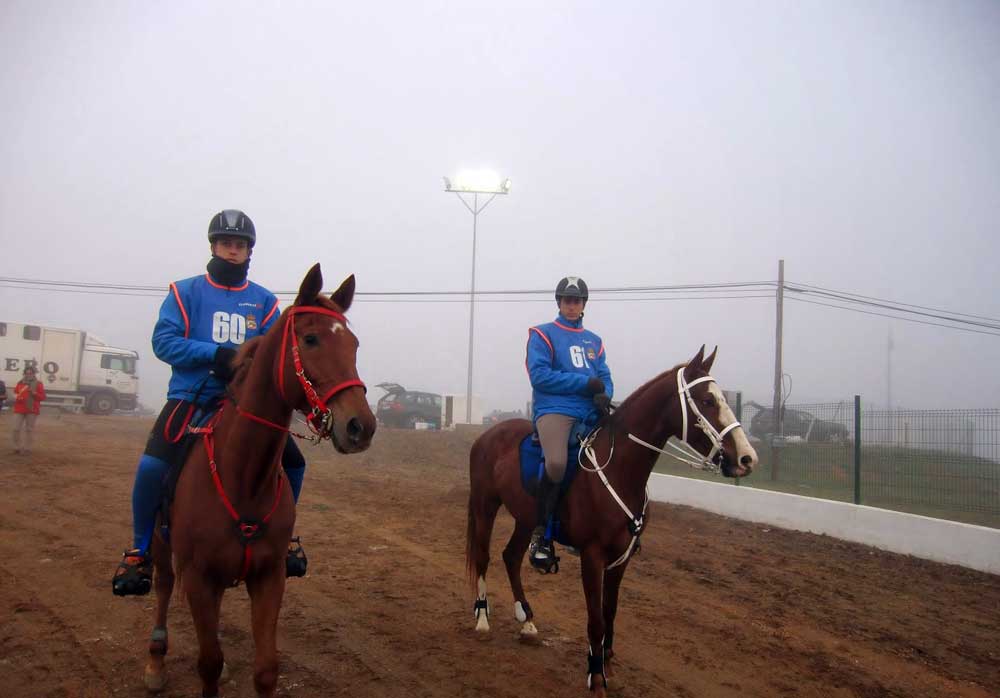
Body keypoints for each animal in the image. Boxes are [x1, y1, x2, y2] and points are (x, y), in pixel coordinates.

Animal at [141, 262, 376, 696]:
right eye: (311, 338)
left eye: (353, 344)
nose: (360, 426)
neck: (242, 475)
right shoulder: (198, 578)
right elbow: (209, 663)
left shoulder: (269, 576)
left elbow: (266, 669)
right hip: (163, 544)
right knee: (163, 586)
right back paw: (155, 661)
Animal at [466, 346, 756, 692]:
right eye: (708, 401)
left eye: (722, 398)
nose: (747, 458)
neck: (619, 466)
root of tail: (488, 434)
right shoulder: (592, 557)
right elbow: (595, 620)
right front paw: (595, 677)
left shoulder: (621, 557)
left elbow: (610, 612)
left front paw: (607, 665)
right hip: (485, 506)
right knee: (483, 557)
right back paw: (482, 619)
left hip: (525, 518)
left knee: (510, 557)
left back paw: (527, 621)